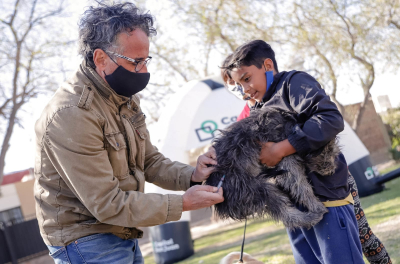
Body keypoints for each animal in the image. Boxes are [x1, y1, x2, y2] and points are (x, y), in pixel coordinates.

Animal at [206, 106, 340, 229]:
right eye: (328, 152)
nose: (331, 170)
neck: (291, 126)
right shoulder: (285, 159)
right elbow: (301, 186)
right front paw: (315, 205)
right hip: (251, 187)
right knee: (281, 208)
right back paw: (311, 216)